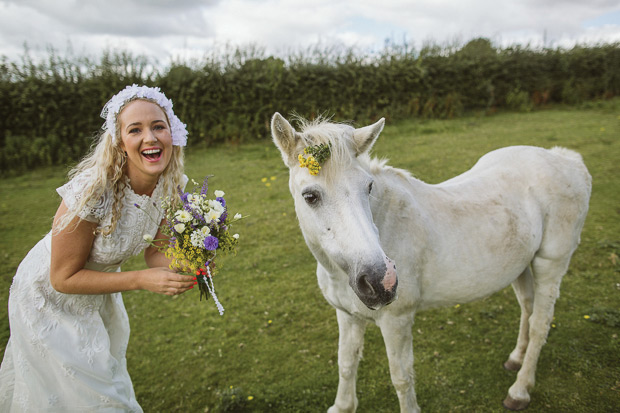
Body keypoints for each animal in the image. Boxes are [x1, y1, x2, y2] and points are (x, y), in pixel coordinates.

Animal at [272, 111, 592, 410]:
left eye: (369, 187)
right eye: (310, 196)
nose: (380, 281)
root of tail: (566, 159)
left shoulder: (397, 321)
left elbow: (401, 378)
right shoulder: (347, 316)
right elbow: (346, 363)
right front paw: (342, 406)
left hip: (551, 264)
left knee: (540, 323)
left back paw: (520, 390)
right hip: (521, 266)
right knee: (528, 307)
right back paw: (516, 359)